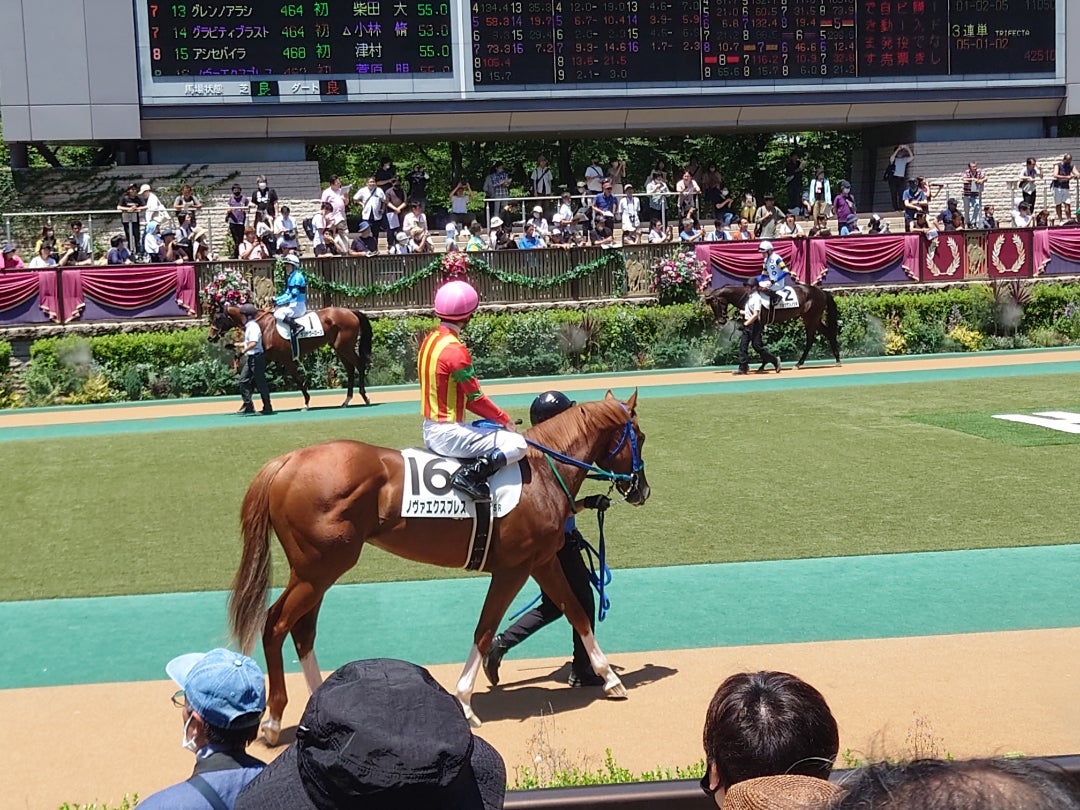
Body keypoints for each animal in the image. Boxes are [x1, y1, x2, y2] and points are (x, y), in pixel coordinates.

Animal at [208, 304, 373, 408]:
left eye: (217, 318)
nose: (210, 337)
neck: (264, 326)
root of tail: (351, 312)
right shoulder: (267, 357)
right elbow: (253, 381)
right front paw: (246, 405)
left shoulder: (286, 359)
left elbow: (298, 380)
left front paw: (306, 402)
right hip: (340, 348)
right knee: (350, 369)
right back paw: (347, 400)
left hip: (345, 347)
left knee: (359, 365)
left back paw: (364, 397)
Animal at [227, 390, 648, 743]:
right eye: (640, 437)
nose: (642, 490)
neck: (543, 471)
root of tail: (287, 461)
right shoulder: (514, 568)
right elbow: (485, 629)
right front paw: (464, 702)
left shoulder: (541, 561)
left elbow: (574, 609)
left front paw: (610, 678)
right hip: (318, 569)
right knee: (276, 624)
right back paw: (273, 721)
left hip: (317, 573)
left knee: (302, 630)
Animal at [704, 278, 846, 367]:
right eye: (711, 306)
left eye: (717, 303)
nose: (721, 320)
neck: (749, 295)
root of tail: (822, 291)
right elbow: (758, 345)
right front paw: (765, 363)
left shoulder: (759, 323)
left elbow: (757, 344)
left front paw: (766, 363)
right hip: (813, 319)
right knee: (828, 333)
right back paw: (836, 359)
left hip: (811, 318)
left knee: (811, 339)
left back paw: (799, 363)